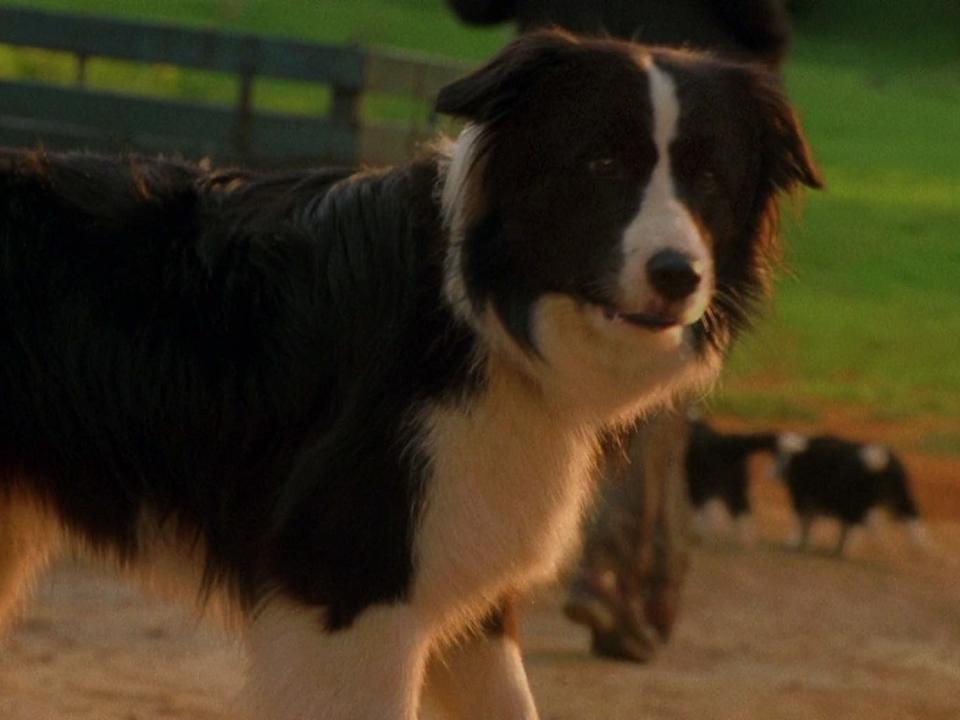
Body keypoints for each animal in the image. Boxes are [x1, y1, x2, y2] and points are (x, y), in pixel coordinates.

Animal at [1, 29, 816, 720]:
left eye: (709, 178)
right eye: (602, 163)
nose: (678, 275)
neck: (470, 312)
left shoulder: (464, 575)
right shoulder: (354, 583)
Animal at [772, 434, 924, 556]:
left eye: (780, 456)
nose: (773, 474)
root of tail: (881, 461)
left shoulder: (802, 495)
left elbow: (802, 519)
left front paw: (795, 542)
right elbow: (812, 520)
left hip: (860, 501)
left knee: (859, 522)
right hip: (900, 495)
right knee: (911, 515)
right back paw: (920, 548)